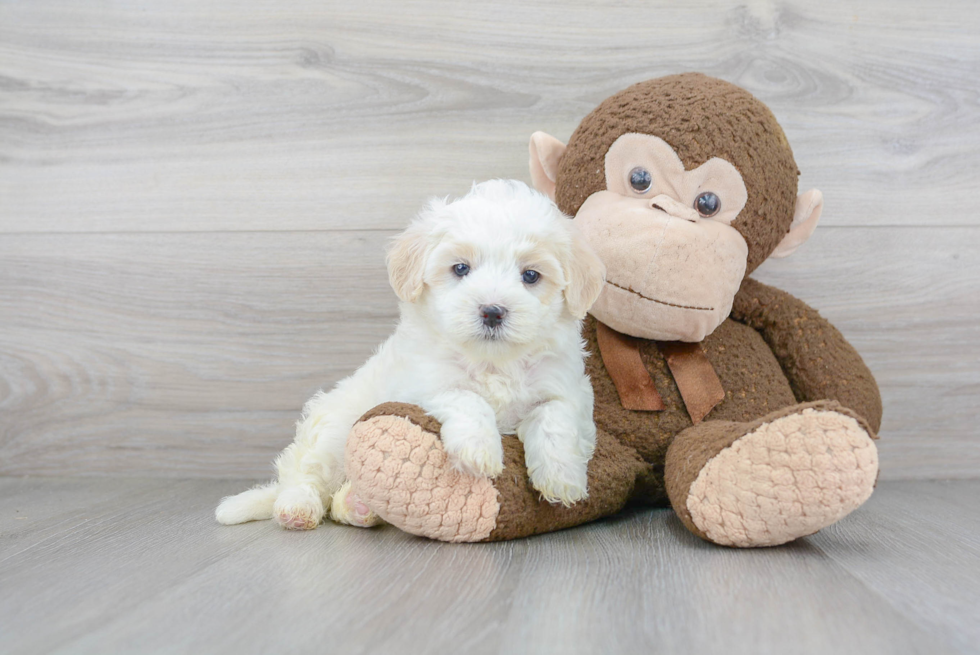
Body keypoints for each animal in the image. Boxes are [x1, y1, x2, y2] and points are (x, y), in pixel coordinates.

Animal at [216, 181, 604, 532]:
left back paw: (357, 506)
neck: (492, 361)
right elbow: (465, 397)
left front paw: (563, 479)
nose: (492, 311)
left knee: (339, 503)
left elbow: (556, 418)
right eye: (460, 268)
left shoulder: (565, 387)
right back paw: (297, 507)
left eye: (530, 275)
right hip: (333, 429)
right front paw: (479, 450)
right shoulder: (422, 384)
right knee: (306, 473)